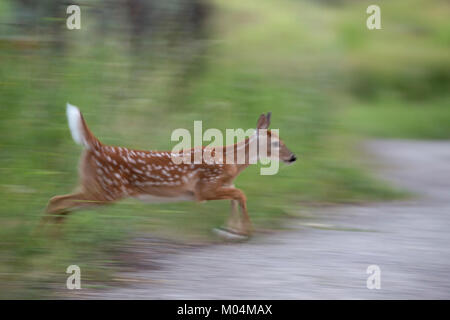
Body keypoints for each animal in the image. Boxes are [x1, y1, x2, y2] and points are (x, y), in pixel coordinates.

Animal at [44, 103, 298, 238]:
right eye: (277, 143)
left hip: (92, 184)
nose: (293, 157)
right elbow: (242, 195)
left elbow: (236, 199)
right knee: (58, 201)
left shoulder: (223, 185)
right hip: (107, 190)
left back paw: (52, 239)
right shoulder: (203, 188)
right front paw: (246, 231)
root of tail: (96, 145)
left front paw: (231, 229)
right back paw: (45, 239)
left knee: (59, 202)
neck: (232, 162)